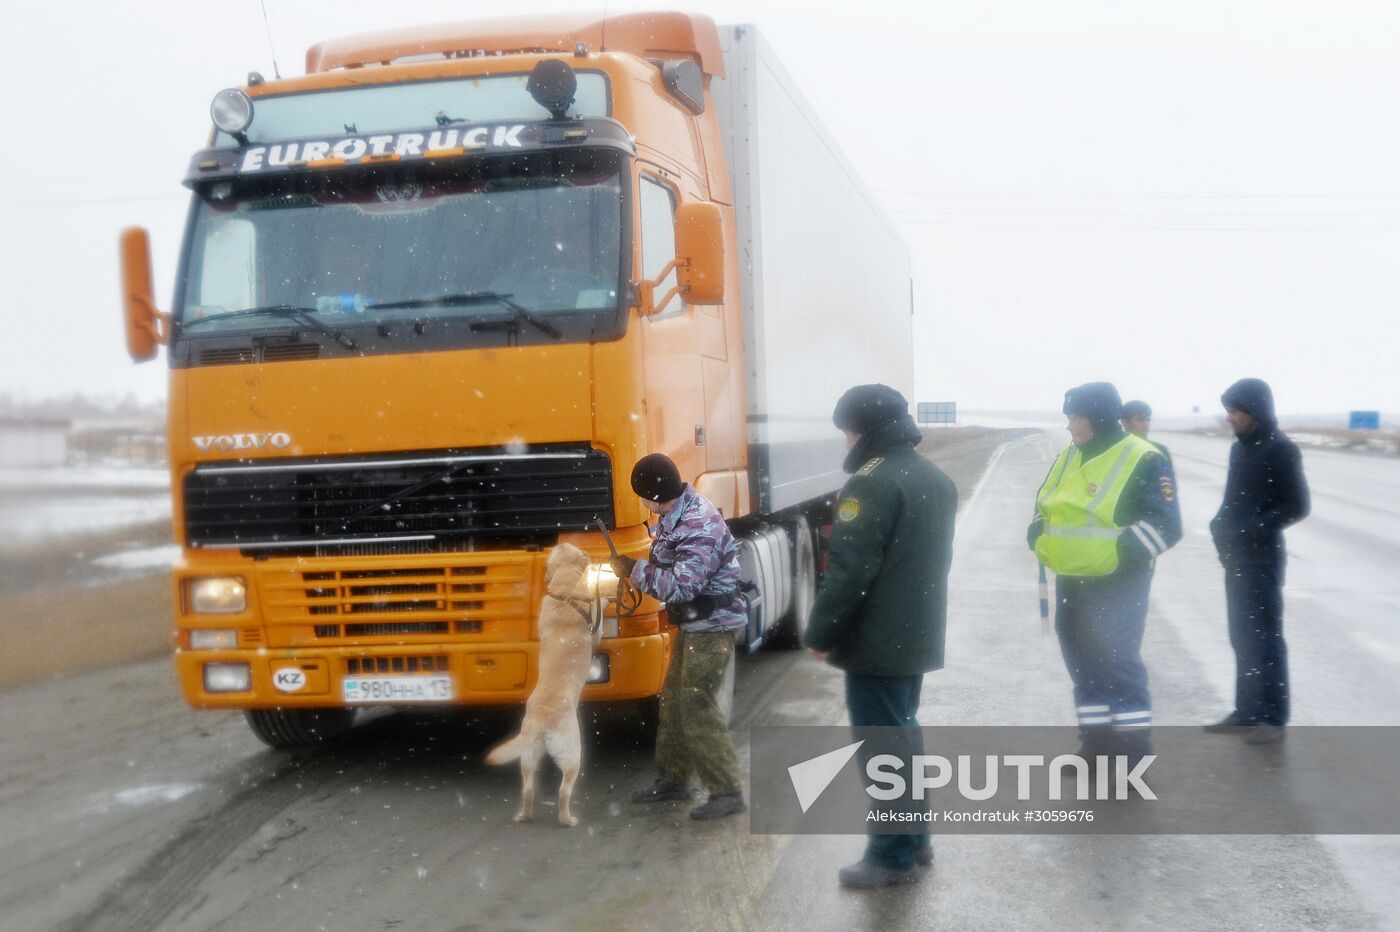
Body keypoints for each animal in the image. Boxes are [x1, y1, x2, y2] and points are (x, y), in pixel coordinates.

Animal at [487, 540, 596, 822]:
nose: (563, 540)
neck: (566, 593)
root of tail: (540, 723)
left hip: (527, 756)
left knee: (528, 789)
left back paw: (523, 815)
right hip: (572, 754)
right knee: (563, 791)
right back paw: (568, 820)